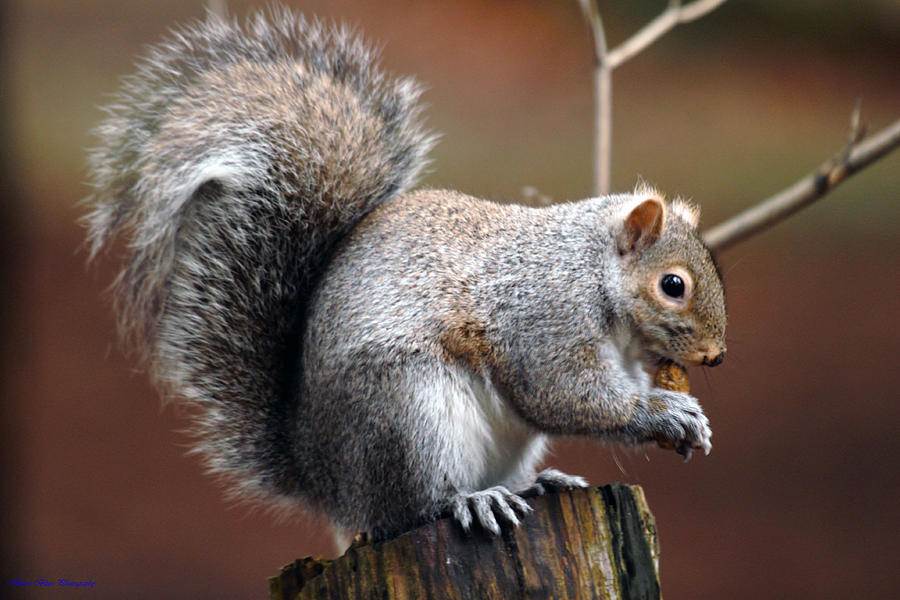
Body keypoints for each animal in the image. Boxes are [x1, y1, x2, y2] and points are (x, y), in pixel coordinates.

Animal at [84, 7, 724, 544]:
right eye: (673, 285)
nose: (716, 356)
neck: (590, 269)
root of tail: (331, 485)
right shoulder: (544, 318)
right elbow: (568, 395)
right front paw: (665, 412)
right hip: (407, 416)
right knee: (413, 506)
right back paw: (469, 500)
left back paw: (538, 483)